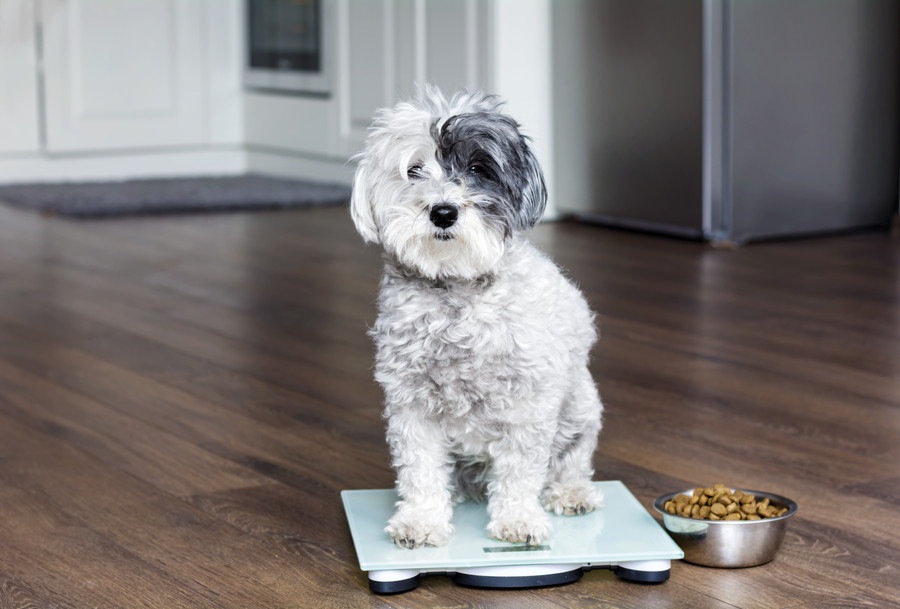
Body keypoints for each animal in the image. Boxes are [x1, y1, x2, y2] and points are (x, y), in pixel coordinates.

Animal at [352, 84, 604, 548]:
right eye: (414, 170)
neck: (456, 290)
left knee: (571, 460)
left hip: (580, 408)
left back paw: (572, 492)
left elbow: (521, 470)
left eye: (476, 168)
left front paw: (518, 519)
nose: (443, 211)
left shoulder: (528, 404)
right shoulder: (412, 405)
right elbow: (420, 469)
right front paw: (422, 519)